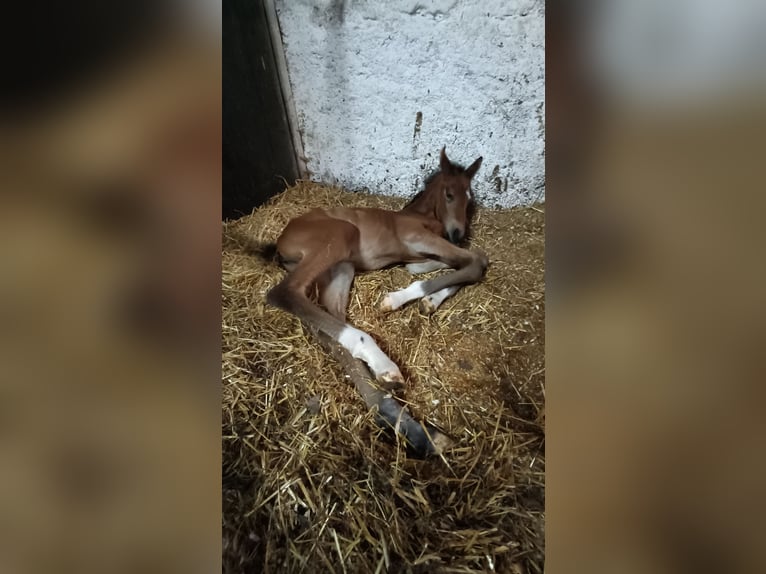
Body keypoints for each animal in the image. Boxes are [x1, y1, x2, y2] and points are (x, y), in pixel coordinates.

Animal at [266, 147, 486, 455]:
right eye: (449, 194)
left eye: (470, 198)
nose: (458, 234)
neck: (420, 216)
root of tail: (281, 241)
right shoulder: (419, 238)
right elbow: (476, 261)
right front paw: (397, 299)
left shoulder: (421, 254)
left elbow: (451, 265)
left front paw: (430, 300)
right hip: (339, 236)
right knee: (284, 293)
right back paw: (383, 365)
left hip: (340, 269)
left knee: (327, 330)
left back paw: (409, 426)